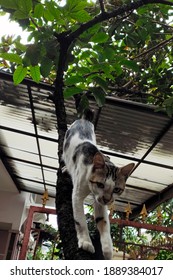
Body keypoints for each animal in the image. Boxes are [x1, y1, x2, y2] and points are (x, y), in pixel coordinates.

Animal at [62, 110, 135, 260]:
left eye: (117, 189)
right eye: (100, 184)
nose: (107, 199)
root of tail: (83, 120)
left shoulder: (100, 202)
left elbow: (104, 223)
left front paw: (107, 251)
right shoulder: (77, 195)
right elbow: (80, 220)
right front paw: (85, 242)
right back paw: (66, 168)